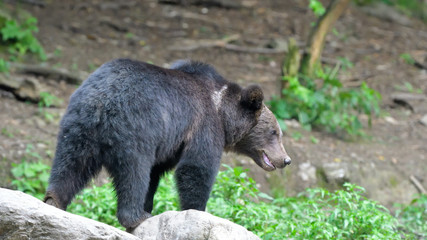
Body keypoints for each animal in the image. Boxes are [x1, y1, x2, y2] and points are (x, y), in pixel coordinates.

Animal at [44, 58, 290, 231]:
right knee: (134, 173)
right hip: (135, 129)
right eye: (274, 132)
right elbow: (197, 168)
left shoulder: (171, 142)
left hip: (78, 126)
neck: (223, 113)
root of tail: (102, 101)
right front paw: (197, 210)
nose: (286, 160)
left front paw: (150, 203)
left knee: (70, 164)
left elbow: (157, 172)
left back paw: (54, 200)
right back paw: (136, 216)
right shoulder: (203, 124)